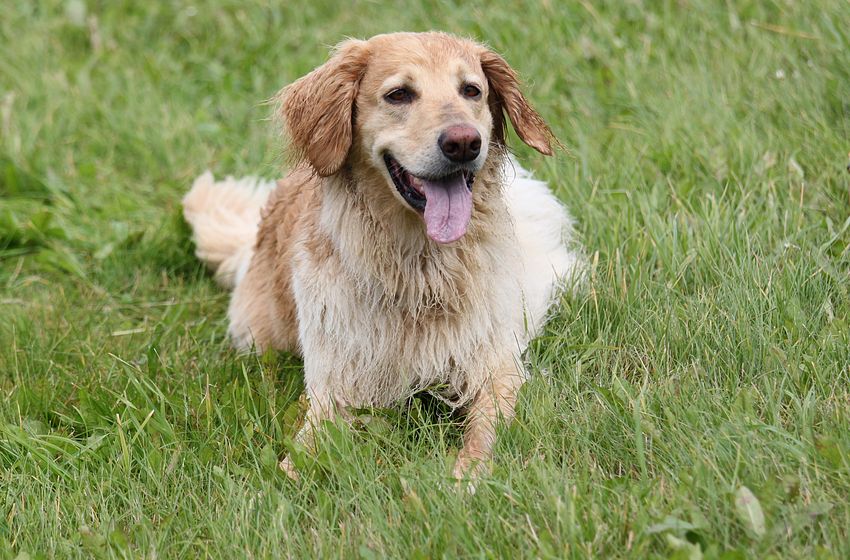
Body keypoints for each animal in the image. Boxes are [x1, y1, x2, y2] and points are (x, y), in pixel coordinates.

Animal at [182, 32, 583, 482]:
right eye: (399, 94)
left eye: (471, 90)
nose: (464, 143)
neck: (421, 269)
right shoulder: (335, 386)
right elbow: (299, 455)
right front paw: (283, 481)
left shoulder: (495, 368)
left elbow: (483, 436)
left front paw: (465, 480)